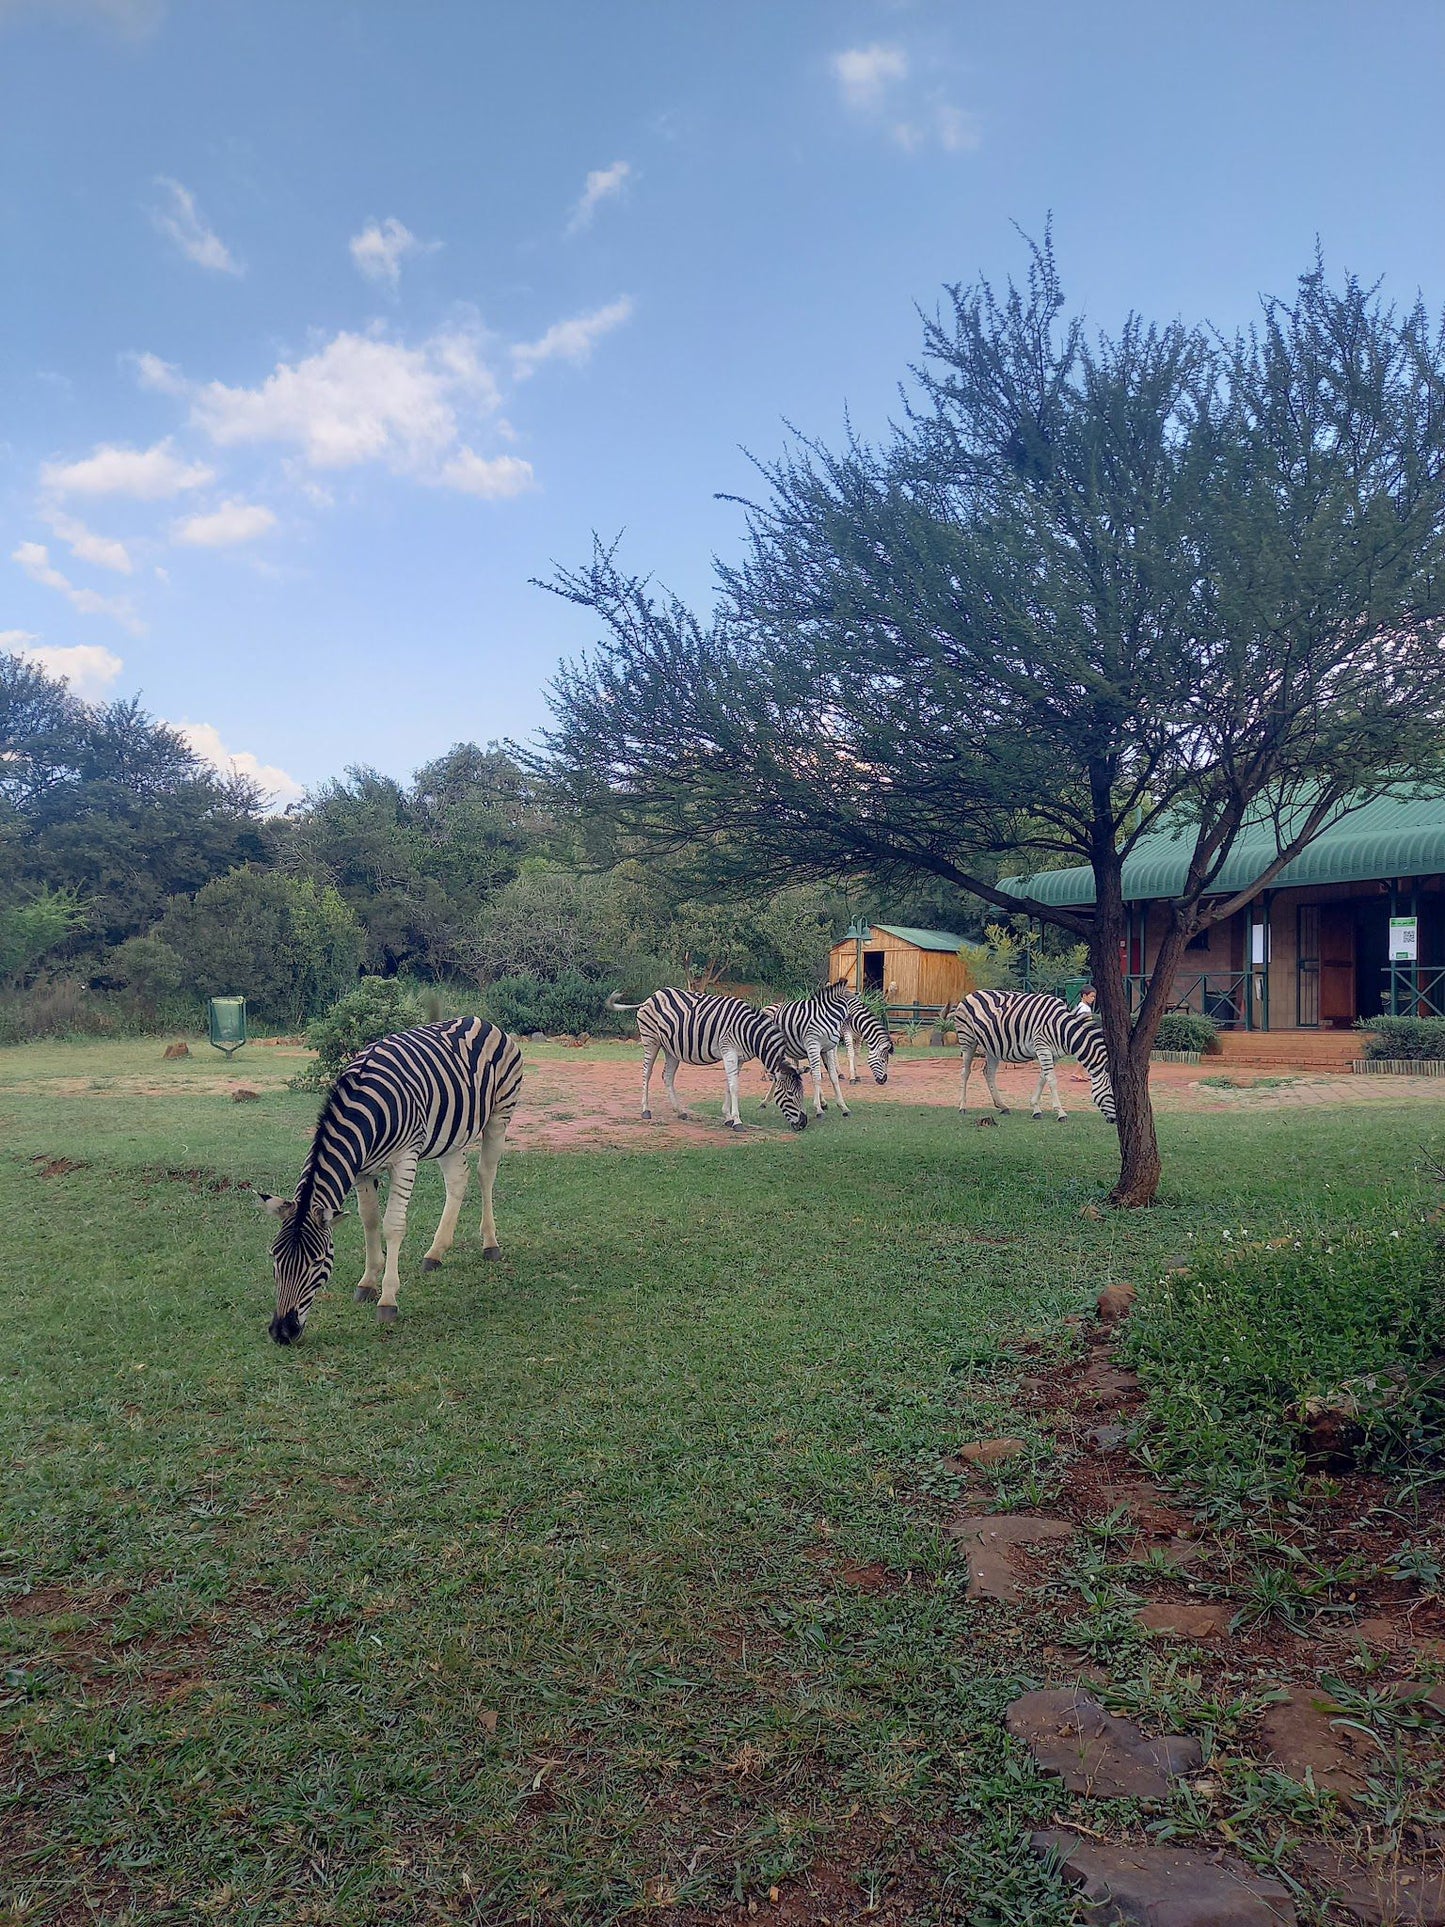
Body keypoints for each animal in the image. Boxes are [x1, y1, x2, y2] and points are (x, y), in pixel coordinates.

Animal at [263, 1017, 524, 1348]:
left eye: (317, 1262)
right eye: (275, 1257)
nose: (282, 1332)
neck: (364, 1111)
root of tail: (478, 1020)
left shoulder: (405, 1159)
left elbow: (392, 1225)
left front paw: (387, 1298)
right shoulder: (362, 1169)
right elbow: (370, 1221)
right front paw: (367, 1281)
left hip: (499, 1115)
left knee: (485, 1173)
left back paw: (490, 1244)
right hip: (449, 1136)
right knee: (458, 1179)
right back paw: (435, 1253)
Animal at [608, 994, 816, 1125]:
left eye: (802, 1093)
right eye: (790, 1095)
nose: (803, 1124)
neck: (749, 1033)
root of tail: (651, 997)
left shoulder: (738, 1057)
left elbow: (729, 1084)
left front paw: (728, 1117)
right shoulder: (728, 1050)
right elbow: (734, 1086)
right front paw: (737, 1121)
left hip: (671, 1048)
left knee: (667, 1076)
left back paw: (680, 1111)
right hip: (651, 1040)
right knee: (647, 1073)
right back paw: (645, 1110)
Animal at [762, 978, 890, 1117]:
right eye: (883, 1061)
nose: (883, 1080)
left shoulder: (837, 1044)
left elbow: (837, 1070)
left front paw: (842, 1104)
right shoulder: (827, 1041)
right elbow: (845, 1058)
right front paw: (819, 1108)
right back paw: (766, 1091)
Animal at [951, 994, 1117, 1125]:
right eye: (1112, 1094)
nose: (1115, 1121)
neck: (1063, 1030)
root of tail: (971, 994)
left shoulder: (1053, 1054)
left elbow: (1043, 1078)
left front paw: (1036, 1109)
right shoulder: (1042, 1046)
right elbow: (1052, 1080)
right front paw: (1061, 1113)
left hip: (991, 1046)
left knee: (989, 1073)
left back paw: (1003, 1106)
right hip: (968, 1040)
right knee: (965, 1072)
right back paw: (962, 1107)